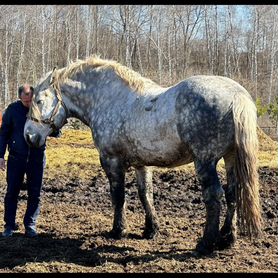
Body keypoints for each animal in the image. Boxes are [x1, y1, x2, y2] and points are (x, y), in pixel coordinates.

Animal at [23, 55, 260, 255]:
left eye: (39, 100)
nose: (28, 136)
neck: (109, 98)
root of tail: (237, 95)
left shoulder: (111, 161)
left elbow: (118, 196)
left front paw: (118, 230)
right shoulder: (142, 164)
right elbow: (146, 194)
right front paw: (151, 229)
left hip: (205, 161)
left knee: (214, 196)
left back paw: (206, 243)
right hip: (230, 158)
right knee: (232, 193)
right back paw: (227, 239)